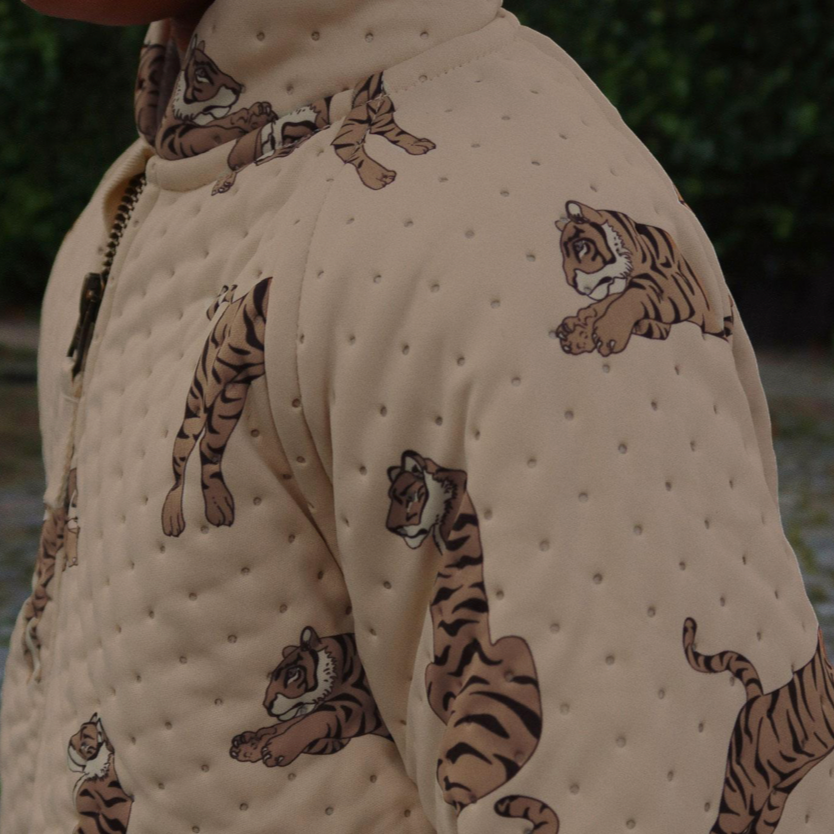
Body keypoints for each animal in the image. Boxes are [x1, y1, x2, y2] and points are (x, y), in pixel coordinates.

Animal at [161, 277, 271, 537]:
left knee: (208, 448)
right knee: (180, 470)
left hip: (229, 403)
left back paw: (217, 503)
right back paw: (172, 516)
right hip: (195, 413)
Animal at [212, 71, 436, 195]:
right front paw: (376, 177)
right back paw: (223, 182)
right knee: (244, 165)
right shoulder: (346, 134)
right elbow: (354, 154)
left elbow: (400, 135)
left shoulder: (382, 120)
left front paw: (416, 144)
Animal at [229, 625, 393, 768]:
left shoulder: (353, 706)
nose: (266, 705)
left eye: (291, 673)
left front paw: (276, 750)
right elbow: (287, 725)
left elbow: (311, 722)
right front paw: (248, 744)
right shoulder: (338, 738)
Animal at [554, 200, 734, 357]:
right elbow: (604, 304)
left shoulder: (676, 287)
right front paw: (578, 331)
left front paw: (608, 333)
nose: (571, 283)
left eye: (579, 246)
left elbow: (634, 296)